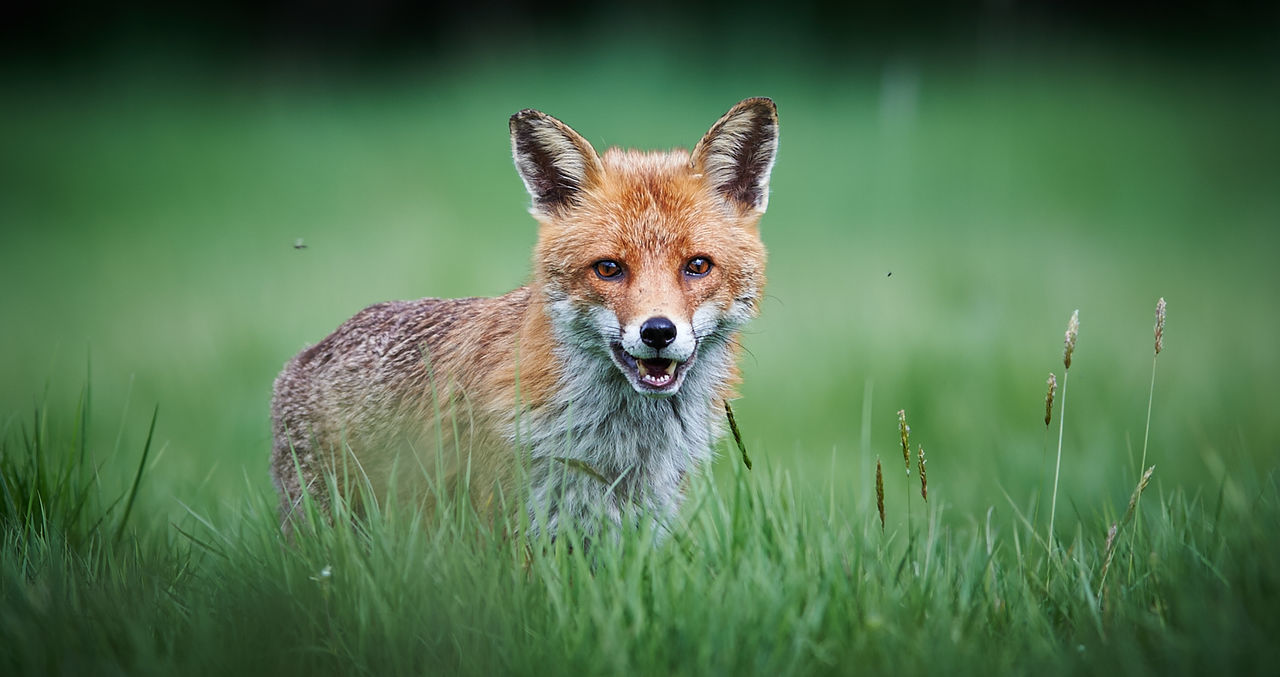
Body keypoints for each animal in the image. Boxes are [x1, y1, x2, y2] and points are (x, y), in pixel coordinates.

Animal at [270, 96, 778, 537]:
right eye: (608, 268)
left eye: (698, 266)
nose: (657, 332)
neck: (619, 448)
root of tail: (307, 354)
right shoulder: (515, 531)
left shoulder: (636, 529)